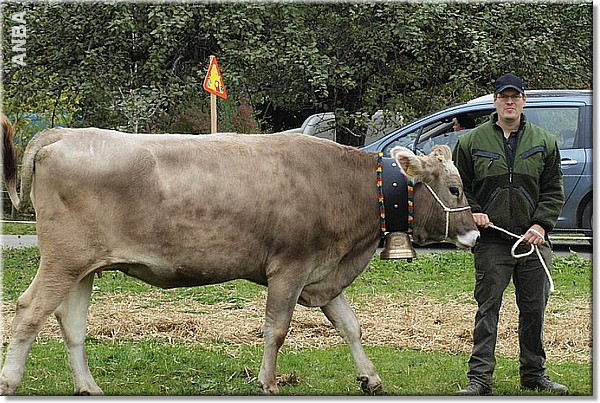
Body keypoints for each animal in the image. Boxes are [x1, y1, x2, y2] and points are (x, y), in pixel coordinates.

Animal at [0, 121, 479, 395]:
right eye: (455, 189)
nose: (476, 232)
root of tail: (64, 134)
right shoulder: (290, 267)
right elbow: (277, 330)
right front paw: (267, 382)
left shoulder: (322, 274)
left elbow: (350, 326)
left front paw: (371, 377)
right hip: (63, 260)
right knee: (28, 311)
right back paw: (12, 380)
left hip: (82, 268)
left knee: (71, 324)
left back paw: (88, 386)